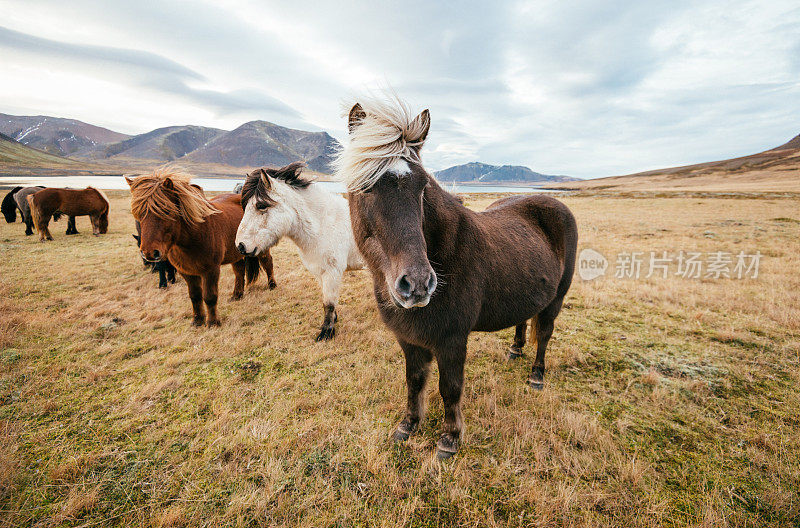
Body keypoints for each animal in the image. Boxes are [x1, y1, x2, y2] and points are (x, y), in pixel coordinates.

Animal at [125, 169, 276, 326]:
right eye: (137, 213)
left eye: (166, 211)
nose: (149, 253)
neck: (193, 237)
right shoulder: (187, 271)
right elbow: (195, 296)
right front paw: (197, 321)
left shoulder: (211, 270)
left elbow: (210, 296)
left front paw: (213, 323)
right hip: (236, 253)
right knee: (239, 271)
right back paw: (237, 295)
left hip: (260, 249)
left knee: (267, 263)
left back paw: (272, 285)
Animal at [236, 163, 364, 340]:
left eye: (261, 205)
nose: (240, 245)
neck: (323, 224)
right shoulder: (320, 272)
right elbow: (326, 299)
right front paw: (333, 321)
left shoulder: (332, 272)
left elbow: (329, 303)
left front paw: (326, 332)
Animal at [334, 97, 580, 460]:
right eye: (365, 187)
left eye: (423, 186)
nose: (418, 284)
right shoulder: (409, 339)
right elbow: (414, 382)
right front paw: (407, 426)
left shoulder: (451, 340)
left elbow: (450, 389)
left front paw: (449, 439)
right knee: (524, 321)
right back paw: (515, 351)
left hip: (557, 299)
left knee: (546, 334)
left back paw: (536, 376)